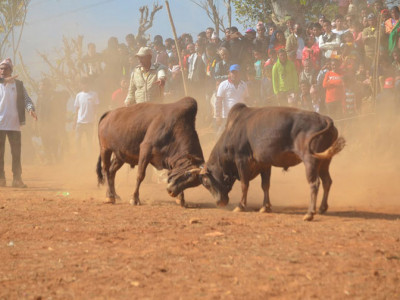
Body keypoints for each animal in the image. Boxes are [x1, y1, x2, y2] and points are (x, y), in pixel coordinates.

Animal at [202, 104, 346, 221]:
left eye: (206, 183)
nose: (219, 202)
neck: (232, 132)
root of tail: (325, 119)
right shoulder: (264, 164)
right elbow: (265, 185)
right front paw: (265, 207)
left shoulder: (241, 160)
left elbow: (244, 184)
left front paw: (240, 206)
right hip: (324, 161)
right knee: (327, 181)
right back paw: (322, 208)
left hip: (310, 160)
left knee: (314, 184)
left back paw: (310, 213)